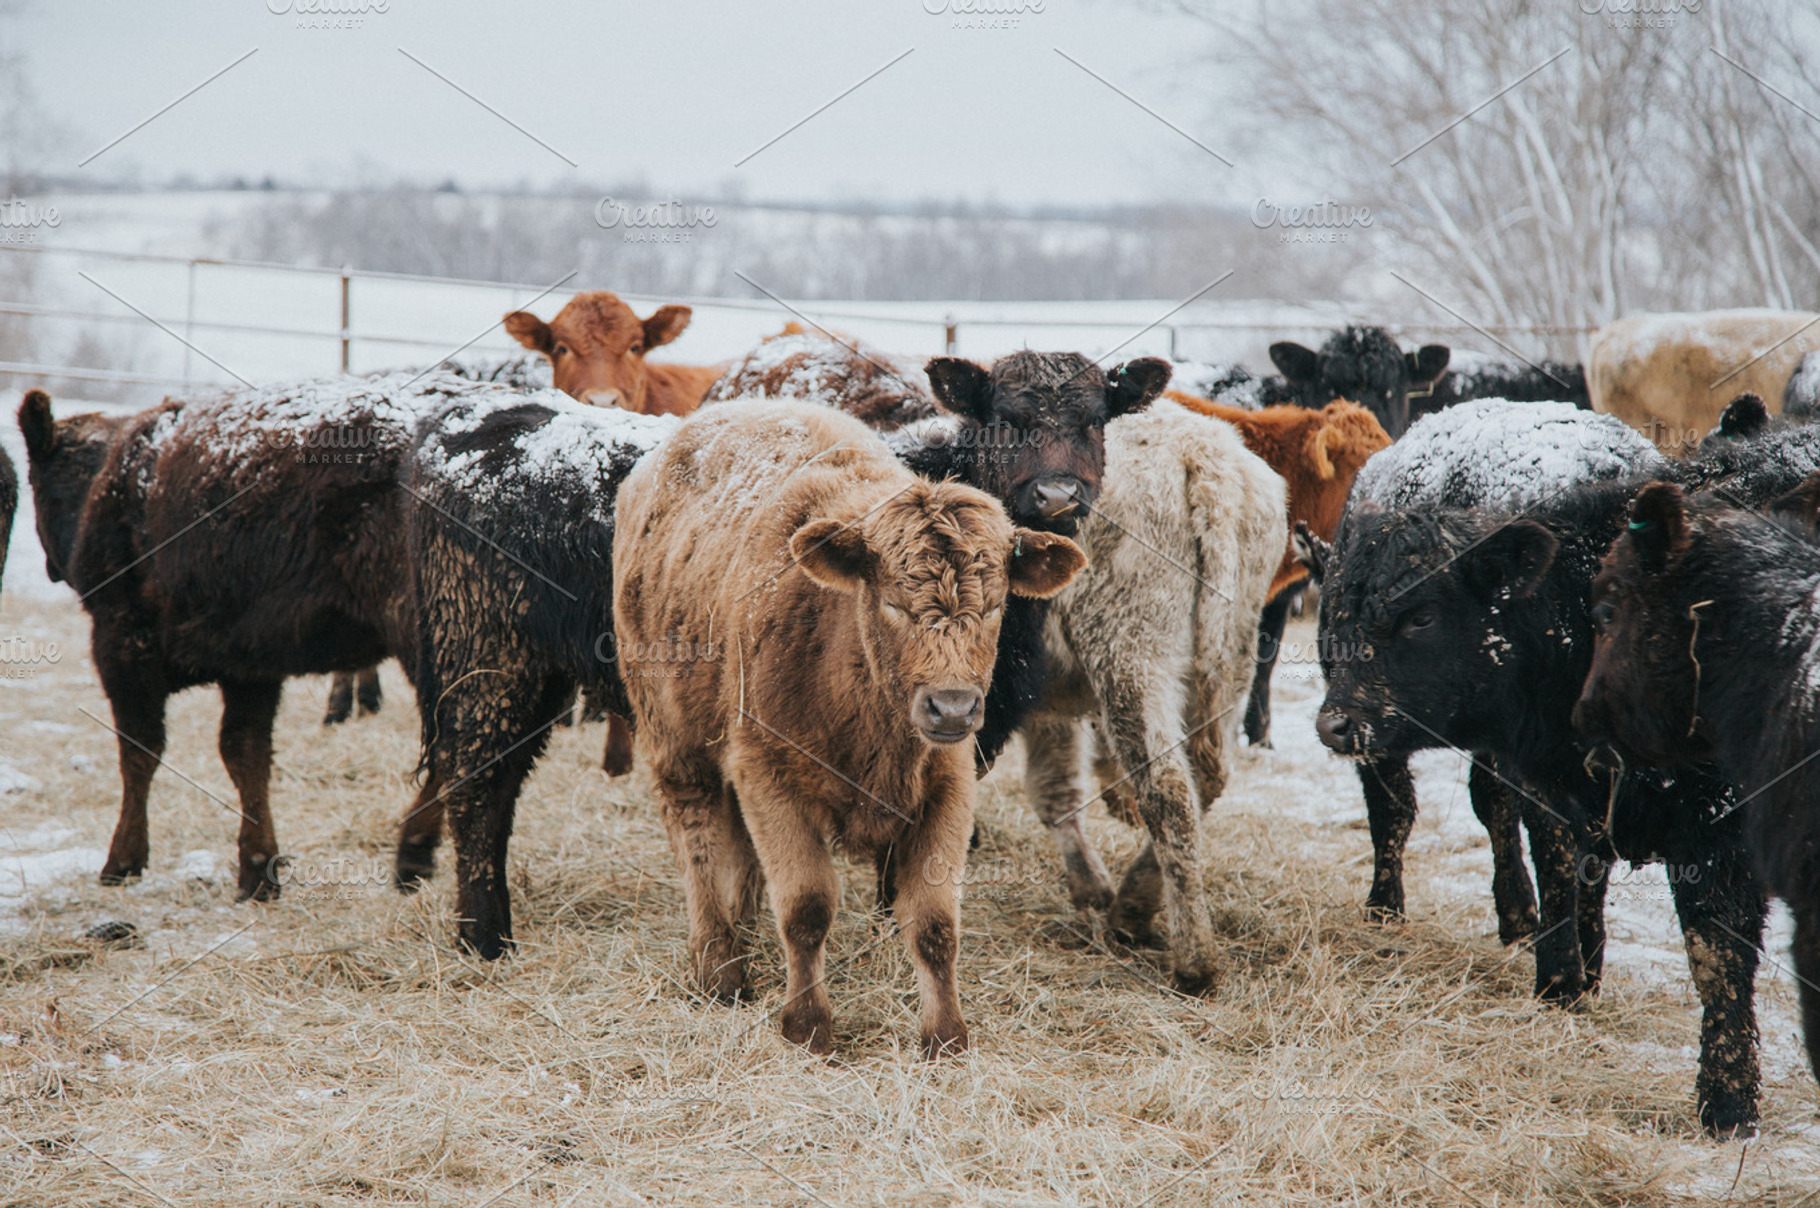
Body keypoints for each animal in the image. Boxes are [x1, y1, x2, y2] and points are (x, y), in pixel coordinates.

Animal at [16, 377, 440, 902]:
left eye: (36, 482)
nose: (52, 568)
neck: (114, 478)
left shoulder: (122, 646)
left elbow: (139, 752)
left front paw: (123, 859)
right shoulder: (249, 667)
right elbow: (246, 754)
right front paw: (258, 869)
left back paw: (415, 850)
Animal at [614, 401, 1084, 1056]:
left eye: (995, 606)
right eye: (892, 602)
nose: (952, 707)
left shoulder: (949, 784)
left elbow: (934, 921)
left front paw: (945, 1033)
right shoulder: (768, 773)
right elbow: (806, 908)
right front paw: (807, 1023)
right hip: (674, 738)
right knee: (698, 839)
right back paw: (719, 964)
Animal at [1020, 400, 1285, 993]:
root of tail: (1202, 452)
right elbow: (1054, 786)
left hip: (1129, 653)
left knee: (1167, 790)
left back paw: (1193, 962)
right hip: (1231, 658)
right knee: (1204, 779)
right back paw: (1132, 909)